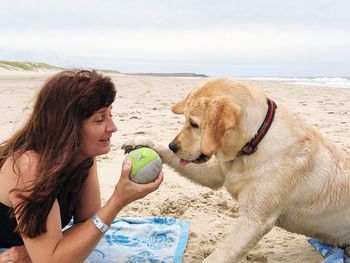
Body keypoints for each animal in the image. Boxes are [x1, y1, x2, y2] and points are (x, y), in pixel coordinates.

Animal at [122, 77, 350, 262]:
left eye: (194, 124)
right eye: (186, 119)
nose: (173, 146)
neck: (254, 142)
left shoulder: (254, 221)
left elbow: (219, 255)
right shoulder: (215, 173)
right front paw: (142, 141)